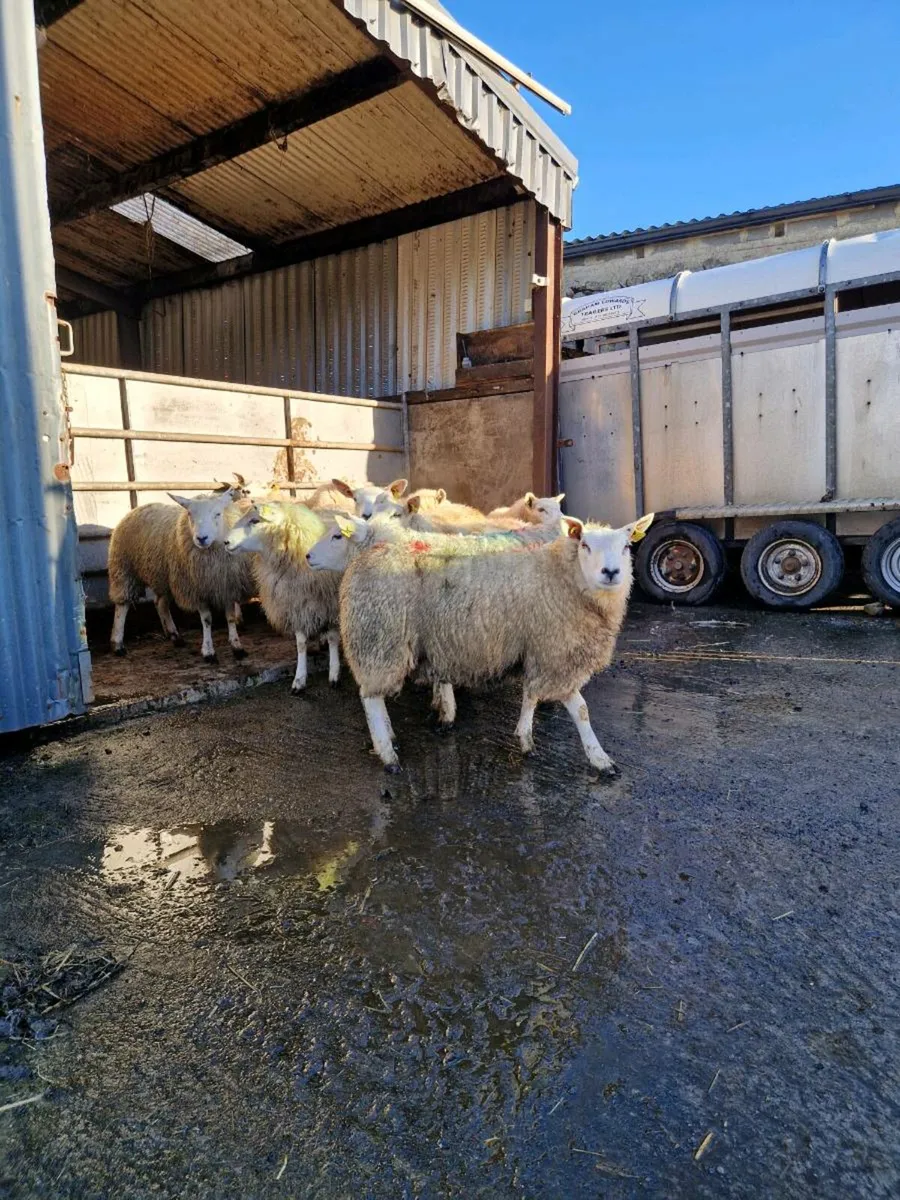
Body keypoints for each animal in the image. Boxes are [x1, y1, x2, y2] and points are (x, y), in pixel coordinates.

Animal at [107, 482, 254, 663]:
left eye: (218, 514)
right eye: (190, 514)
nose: (201, 538)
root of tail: (137, 509)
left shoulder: (226, 584)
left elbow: (231, 617)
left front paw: (237, 647)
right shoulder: (196, 589)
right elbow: (206, 620)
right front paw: (208, 651)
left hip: (163, 576)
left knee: (160, 603)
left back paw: (175, 636)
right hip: (124, 569)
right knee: (122, 605)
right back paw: (118, 644)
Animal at [225, 501, 342, 693]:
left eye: (255, 520)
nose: (225, 542)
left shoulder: (330, 605)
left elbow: (333, 637)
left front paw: (334, 674)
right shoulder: (295, 605)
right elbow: (301, 644)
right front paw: (299, 680)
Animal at [336, 512, 654, 773]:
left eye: (626, 547)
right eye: (585, 545)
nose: (611, 572)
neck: (562, 576)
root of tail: (370, 552)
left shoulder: (537, 647)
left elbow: (537, 697)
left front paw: (528, 739)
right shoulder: (555, 652)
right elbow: (579, 708)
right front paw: (597, 757)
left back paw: (392, 738)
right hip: (380, 638)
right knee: (371, 698)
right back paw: (388, 755)